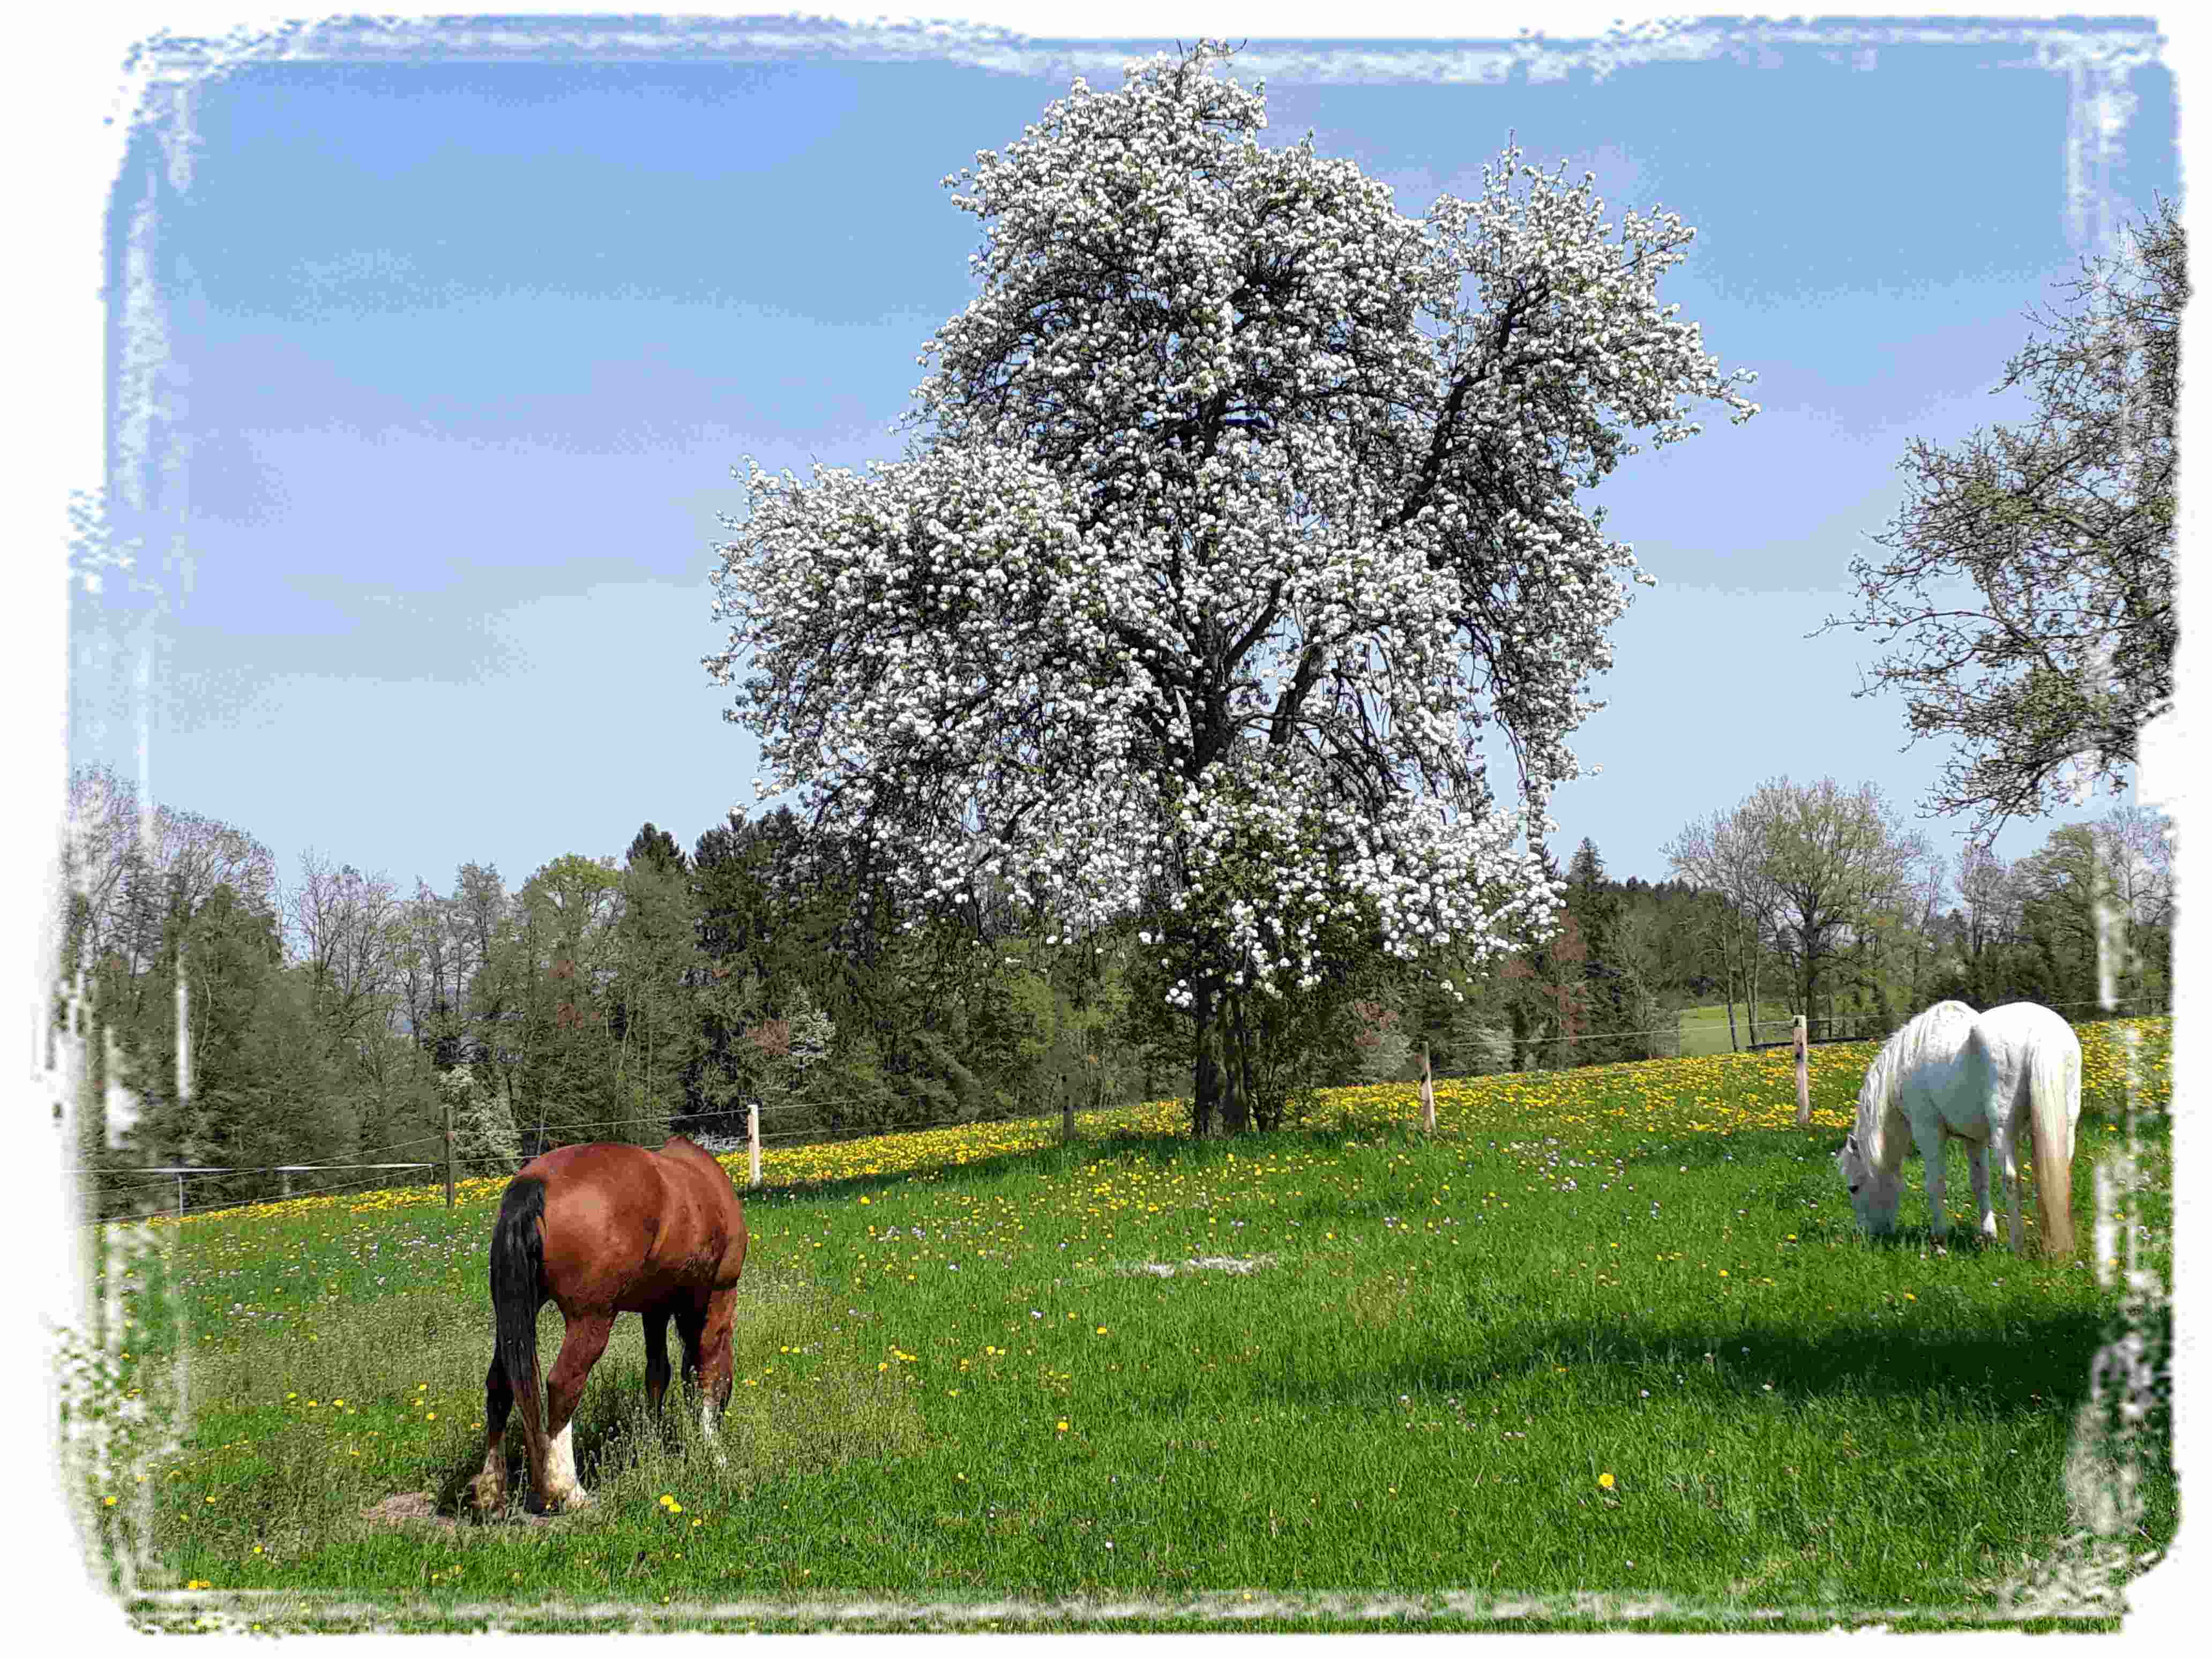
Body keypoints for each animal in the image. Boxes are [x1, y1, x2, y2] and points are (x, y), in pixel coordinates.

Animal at [471, 1141, 748, 1522]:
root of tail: (537, 1182)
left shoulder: (655, 1309)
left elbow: (658, 1374)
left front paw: (653, 1442)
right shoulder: (721, 1294)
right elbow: (708, 1372)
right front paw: (714, 1453)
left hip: (514, 1317)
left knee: (500, 1385)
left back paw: (491, 1493)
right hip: (592, 1319)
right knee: (563, 1385)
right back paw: (568, 1491)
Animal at [1840, 999, 2079, 1256]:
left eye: (1853, 1188)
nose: (1868, 1236)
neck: (1906, 1063)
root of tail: (2039, 1033)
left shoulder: (1928, 1131)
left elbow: (1935, 1183)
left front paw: (1939, 1239)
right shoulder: (1974, 1139)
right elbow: (1980, 1182)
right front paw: (1988, 1235)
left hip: (2002, 1131)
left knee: (2010, 1178)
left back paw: (2017, 1246)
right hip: (2065, 1127)